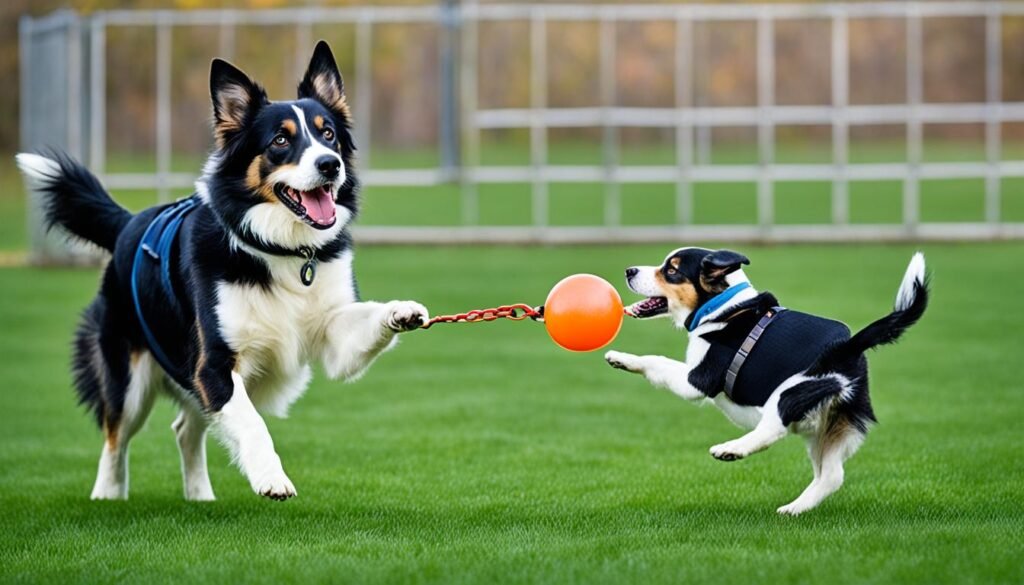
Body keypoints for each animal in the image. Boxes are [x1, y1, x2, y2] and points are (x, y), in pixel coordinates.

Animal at [19, 41, 428, 502]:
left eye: (329, 135)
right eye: (281, 139)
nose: (330, 165)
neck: (280, 249)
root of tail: (127, 223)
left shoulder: (330, 335)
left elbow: (365, 322)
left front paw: (402, 311)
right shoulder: (212, 366)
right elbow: (253, 424)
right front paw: (272, 478)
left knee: (184, 428)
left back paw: (200, 496)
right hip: (129, 376)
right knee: (115, 434)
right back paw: (107, 494)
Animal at [602, 249, 933, 514]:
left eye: (671, 270)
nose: (629, 271)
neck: (722, 308)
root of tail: (848, 348)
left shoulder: (696, 380)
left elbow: (657, 361)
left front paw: (620, 358)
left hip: (791, 391)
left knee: (772, 429)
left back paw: (731, 450)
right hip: (832, 424)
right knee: (831, 475)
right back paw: (794, 509)